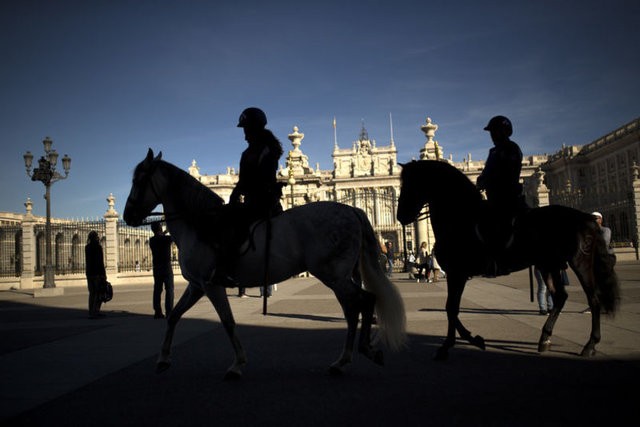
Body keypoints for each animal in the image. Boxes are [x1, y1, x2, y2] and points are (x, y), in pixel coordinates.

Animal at [124, 150, 404, 382]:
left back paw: (360, 352)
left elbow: (227, 321)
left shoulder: (211, 285)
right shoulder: (197, 285)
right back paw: (345, 359)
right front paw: (163, 359)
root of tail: (352, 210)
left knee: (363, 302)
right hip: (340, 275)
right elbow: (174, 316)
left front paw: (237, 365)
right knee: (355, 308)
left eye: (138, 180)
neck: (202, 225)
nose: (128, 216)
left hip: (333, 274)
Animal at [398, 160, 616, 362]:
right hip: (548, 264)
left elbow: (451, 308)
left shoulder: (457, 273)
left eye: (410, 184)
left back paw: (589, 344)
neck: (460, 217)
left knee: (593, 299)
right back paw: (544, 339)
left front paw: (453, 345)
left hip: (580, 262)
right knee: (561, 296)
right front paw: (469, 339)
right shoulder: (456, 274)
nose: (400, 216)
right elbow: (451, 308)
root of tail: (585, 218)